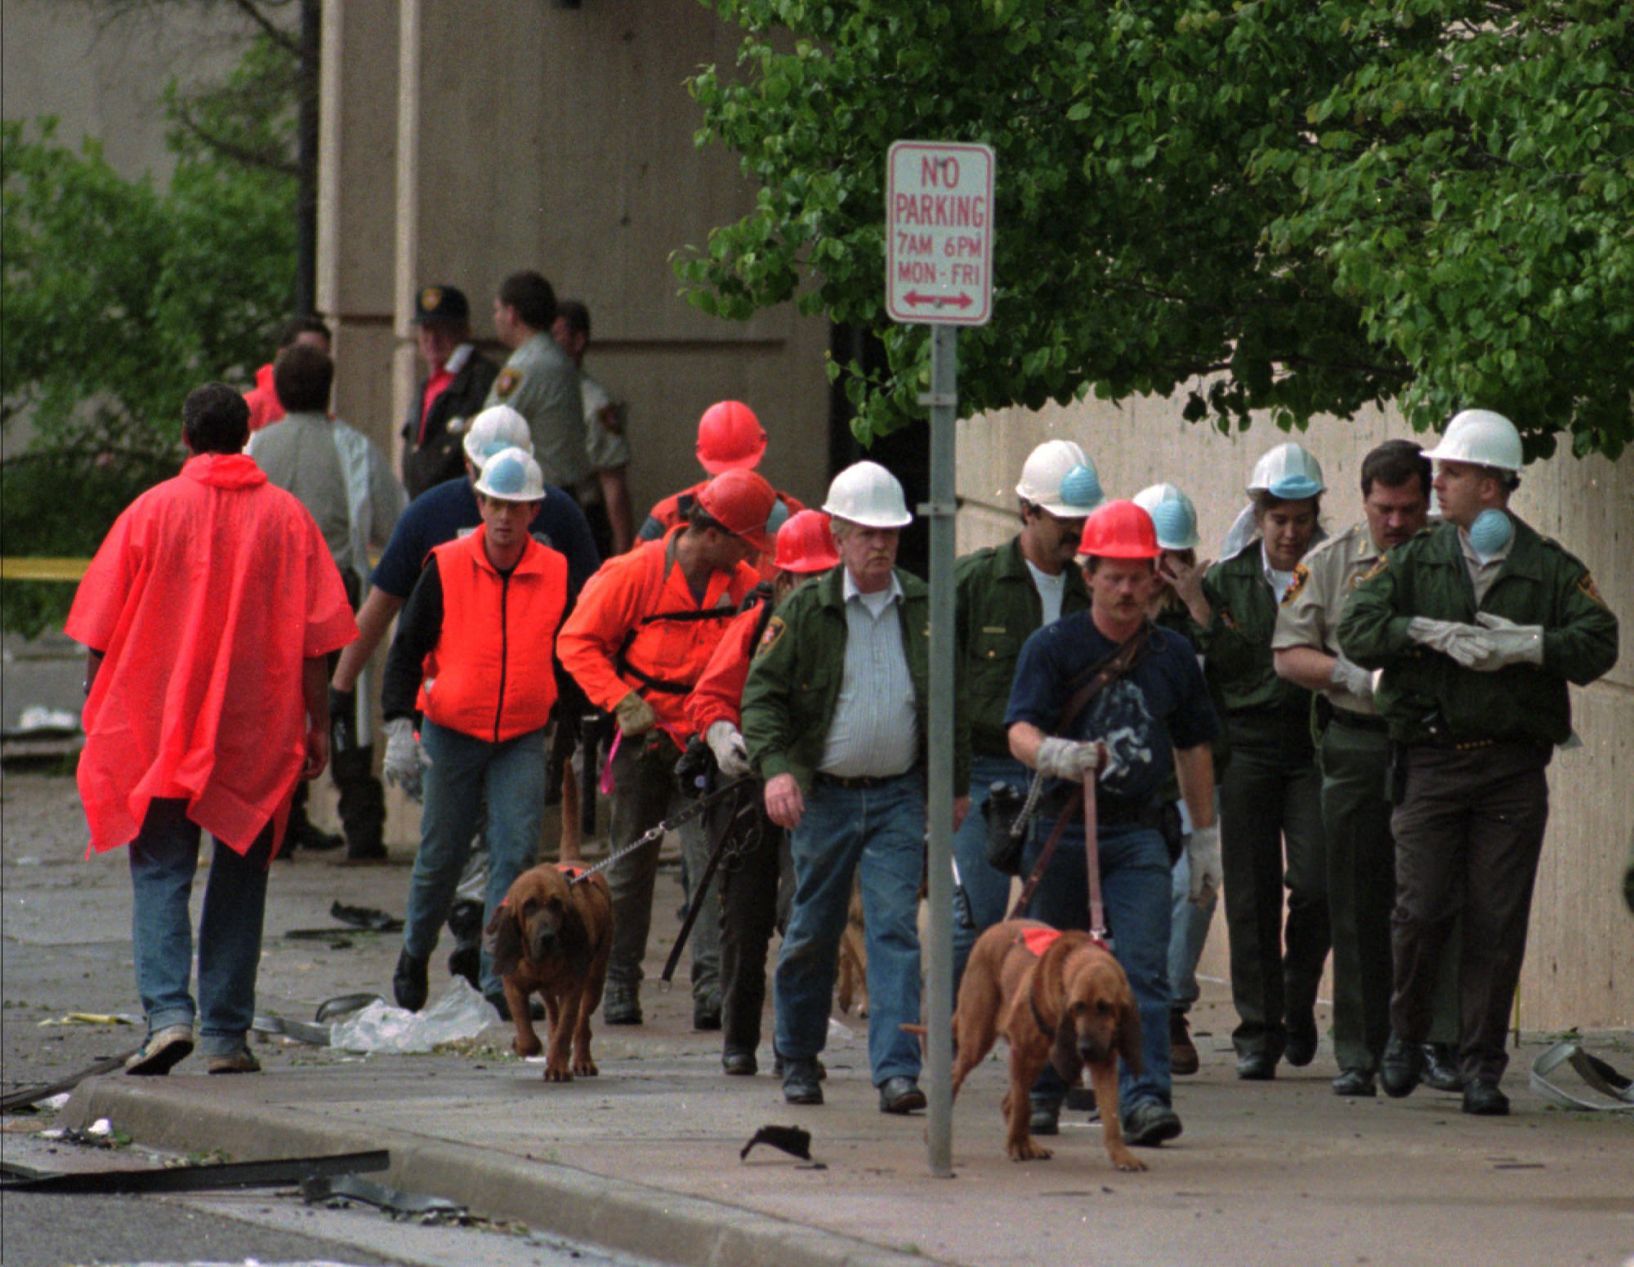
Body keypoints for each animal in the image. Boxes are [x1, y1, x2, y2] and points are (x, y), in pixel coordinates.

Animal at [486, 863, 614, 1078]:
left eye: (556, 904)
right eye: (529, 905)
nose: (547, 937)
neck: (540, 964)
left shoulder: (572, 989)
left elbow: (565, 1031)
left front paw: (557, 1068)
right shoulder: (513, 986)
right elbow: (527, 1034)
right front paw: (521, 1045)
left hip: (594, 983)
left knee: (582, 1025)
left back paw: (582, 1060)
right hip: (548, 991)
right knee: (554, 1015)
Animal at [954, 915, 1143, 1177]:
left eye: (1105, 1007)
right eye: (1078, 1007)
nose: (1085, 1049)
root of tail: (997, 927)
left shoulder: (1104, 1062)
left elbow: (1111, 1115)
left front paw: (1121, 1155)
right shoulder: (1020, 1050)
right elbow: (1023, 1106)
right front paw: (1016, 1144)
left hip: (1037, 1059)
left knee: (1009, 1102)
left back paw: (1030, 1143)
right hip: (977, 1040)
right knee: (958, 1078)